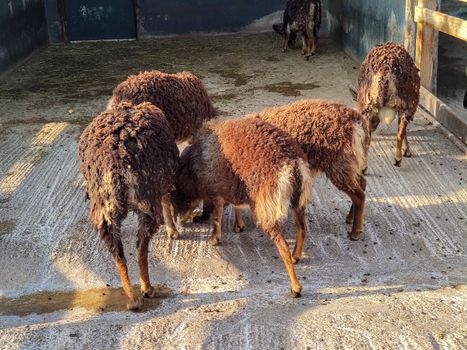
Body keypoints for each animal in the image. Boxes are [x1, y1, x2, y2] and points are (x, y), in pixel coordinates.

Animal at [78, 100, 179, 308]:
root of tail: (117, 168)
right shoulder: (165, 182)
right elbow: (167, 201)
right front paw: (173, 231)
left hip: (106, 210)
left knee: (118, 252)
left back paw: (132, 298)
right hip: (147, 200)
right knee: (141, 248)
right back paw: (147, 289)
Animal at [171, 117, 310, 296]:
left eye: (177, 195)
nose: (179, 221)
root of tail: (292, 164)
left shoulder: (216, 191)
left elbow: (217, 217)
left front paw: (214, 239)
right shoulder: (235, 187)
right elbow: (236, 206)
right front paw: (239, 225)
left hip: (265, 209)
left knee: (284, 247)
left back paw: (295, 287)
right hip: (298, 202)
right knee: (302, 229)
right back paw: (296, 256)